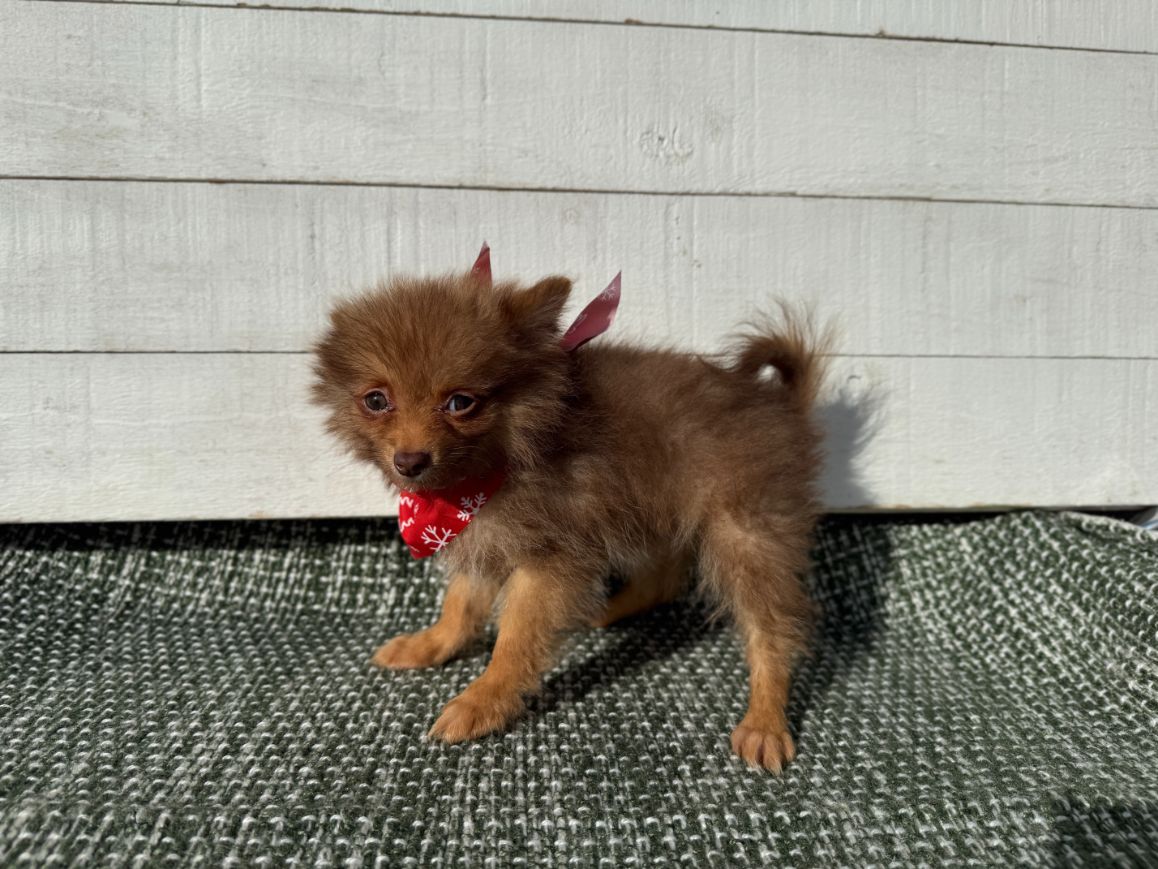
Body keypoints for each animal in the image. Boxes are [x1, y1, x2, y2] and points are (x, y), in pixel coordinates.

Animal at [311, 258, 825, 772]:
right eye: (376, 400)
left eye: (461, 403)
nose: (410, 461)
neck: (495, 464)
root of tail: (780, 405)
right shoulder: (486, 537)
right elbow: (460, 606)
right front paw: (430, 644)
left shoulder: (548, 561)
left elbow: (515, 640)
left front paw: (482, 700)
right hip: (652, 507)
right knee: (663, 578)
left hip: (747, 534)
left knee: (771, 630)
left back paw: (765, 720)